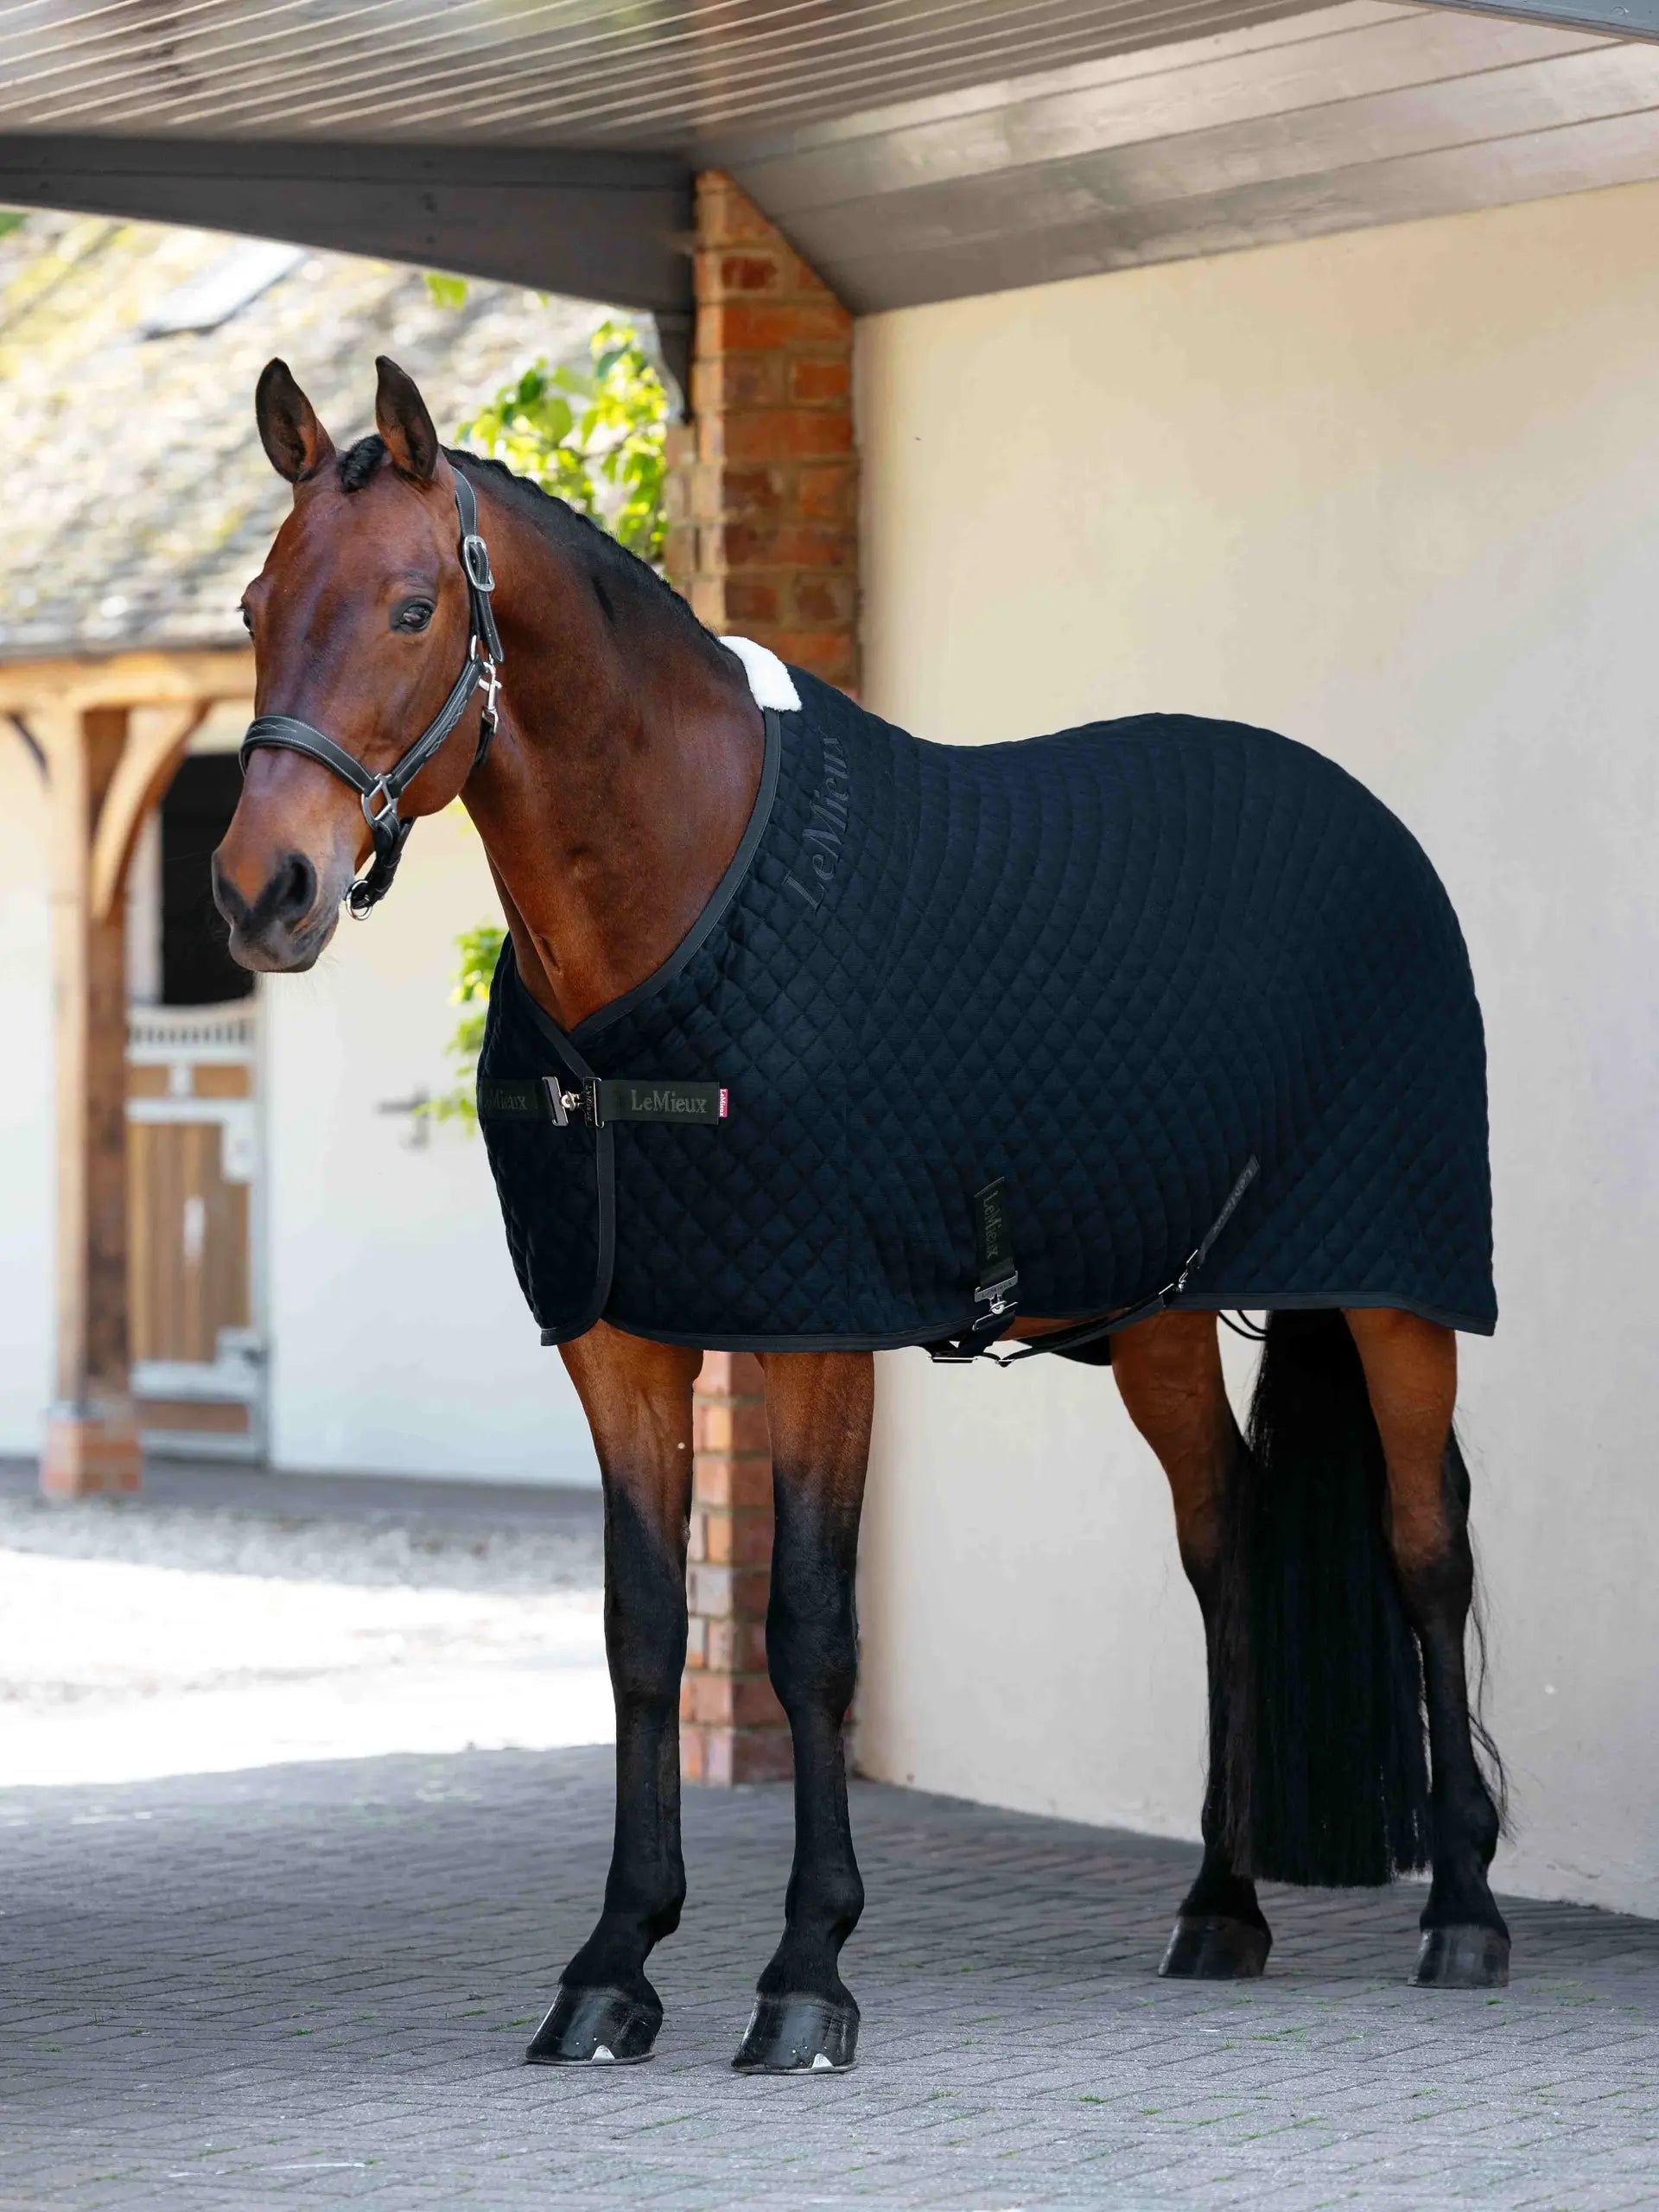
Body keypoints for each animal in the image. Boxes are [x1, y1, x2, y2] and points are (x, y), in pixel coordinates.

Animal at [214, 355, 1508, 2076]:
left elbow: (808, 1632)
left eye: (415, 608)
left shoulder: (814, 1331)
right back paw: (1221, 1906)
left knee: (1429, 1543)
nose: (260, 891)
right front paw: (613, 1965)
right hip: (1162, 1312)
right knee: (1223, 1539)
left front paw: (805, 1975)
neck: (673, 916)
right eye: (253, 605)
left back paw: (1466, 1915)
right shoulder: (623, 1342)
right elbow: (646, 1636)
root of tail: (1376, 826)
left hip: (1397, 1289)